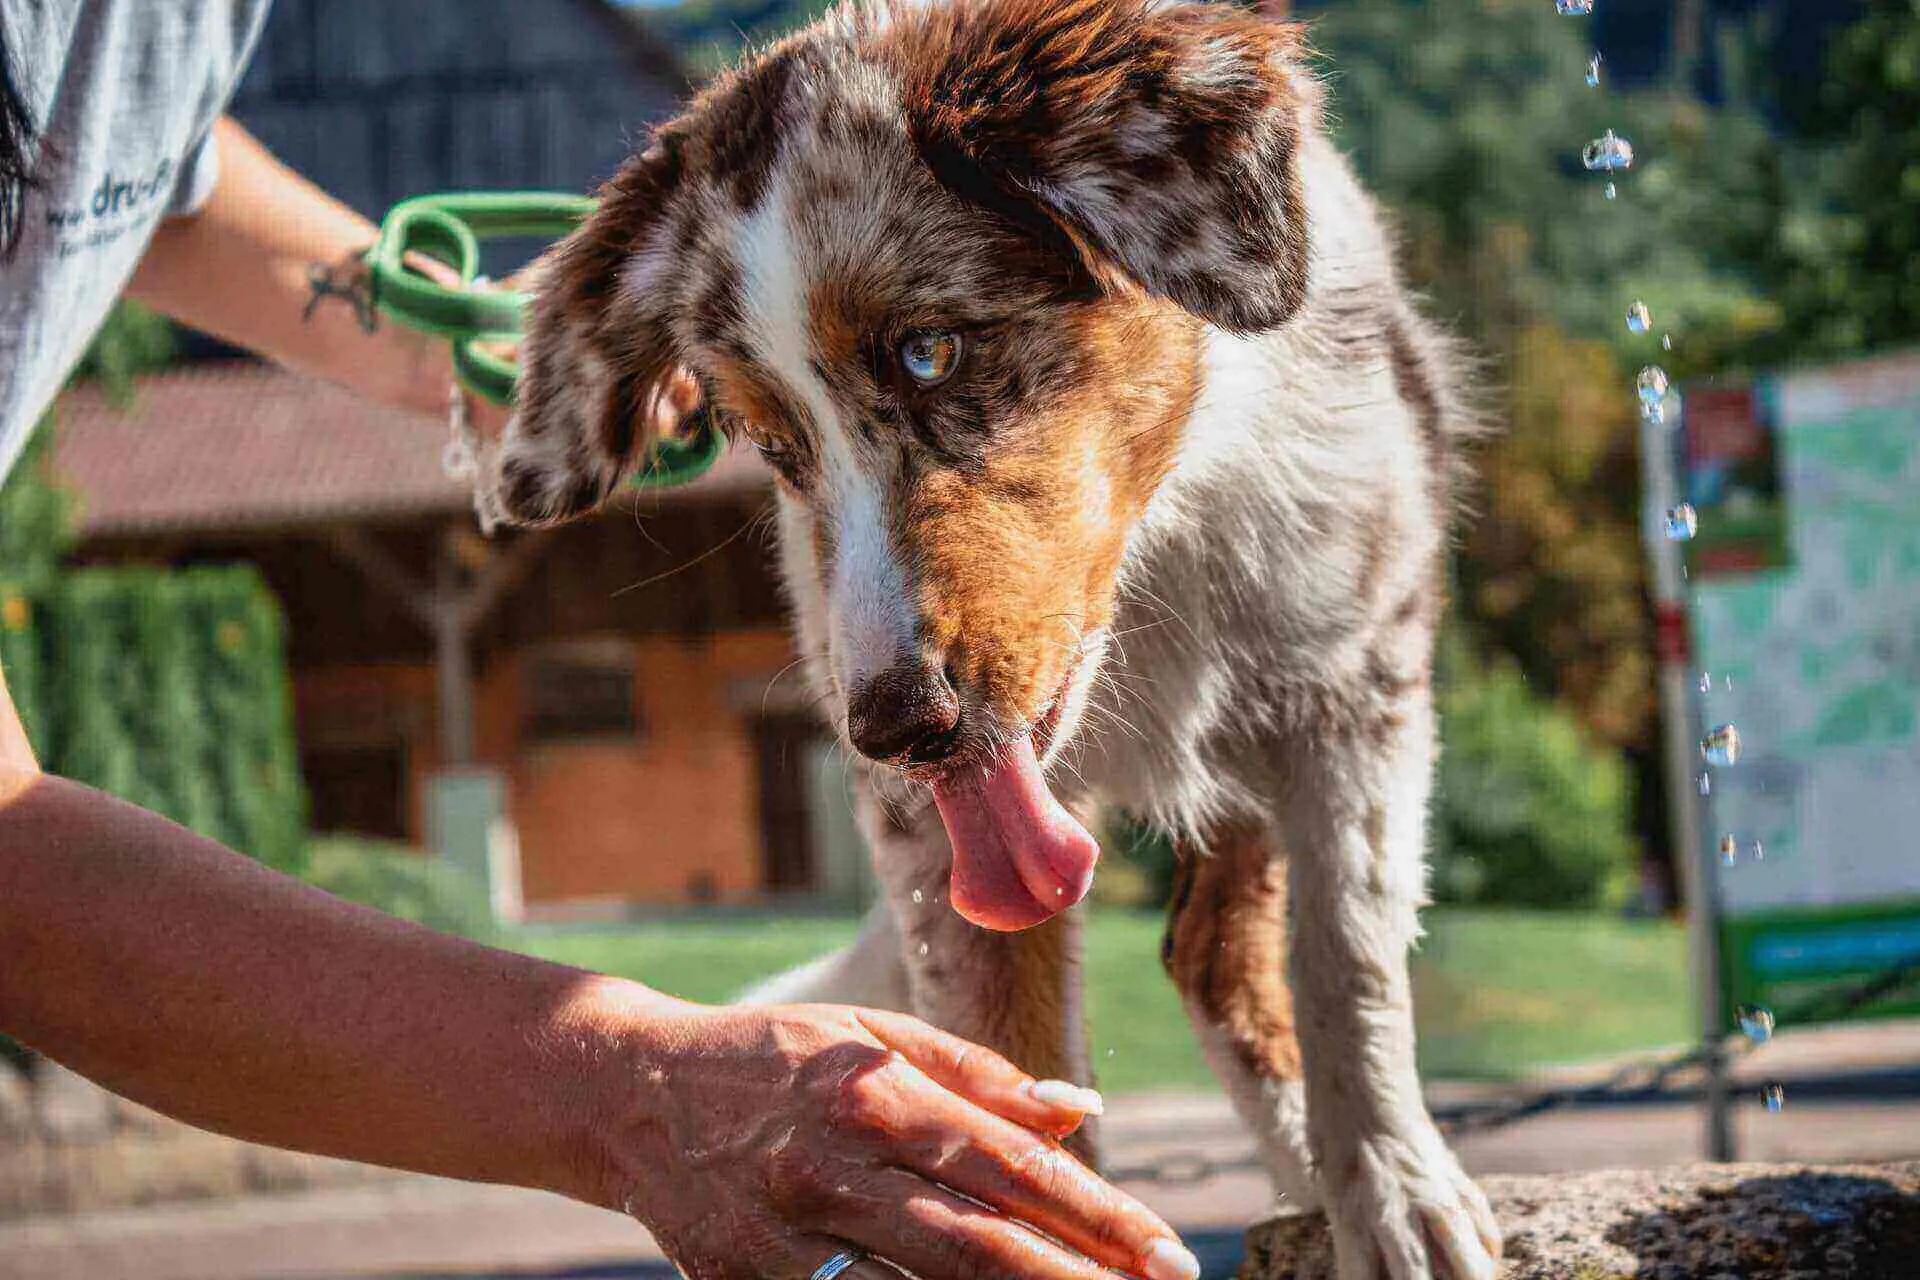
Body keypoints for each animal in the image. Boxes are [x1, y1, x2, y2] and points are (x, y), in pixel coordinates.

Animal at [491, 5, 1497, 1274]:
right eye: (775, 445)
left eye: (930, 352)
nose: (893, 726)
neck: (1155, 546)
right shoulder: (927, 819)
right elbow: (1010, 1055)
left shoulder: (1352, 687)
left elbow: (1350, 957)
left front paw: (1400, 1197)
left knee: (1224, 955)